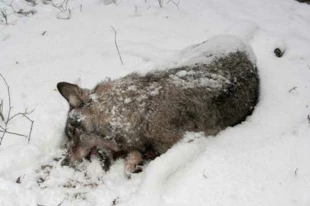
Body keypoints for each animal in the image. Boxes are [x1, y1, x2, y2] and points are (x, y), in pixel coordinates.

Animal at [57, 36, 260, 175]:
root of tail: (245, 46)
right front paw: (134, 161)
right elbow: (134, 154)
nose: (64, 163)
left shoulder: (189, 141)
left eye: (72, 134)